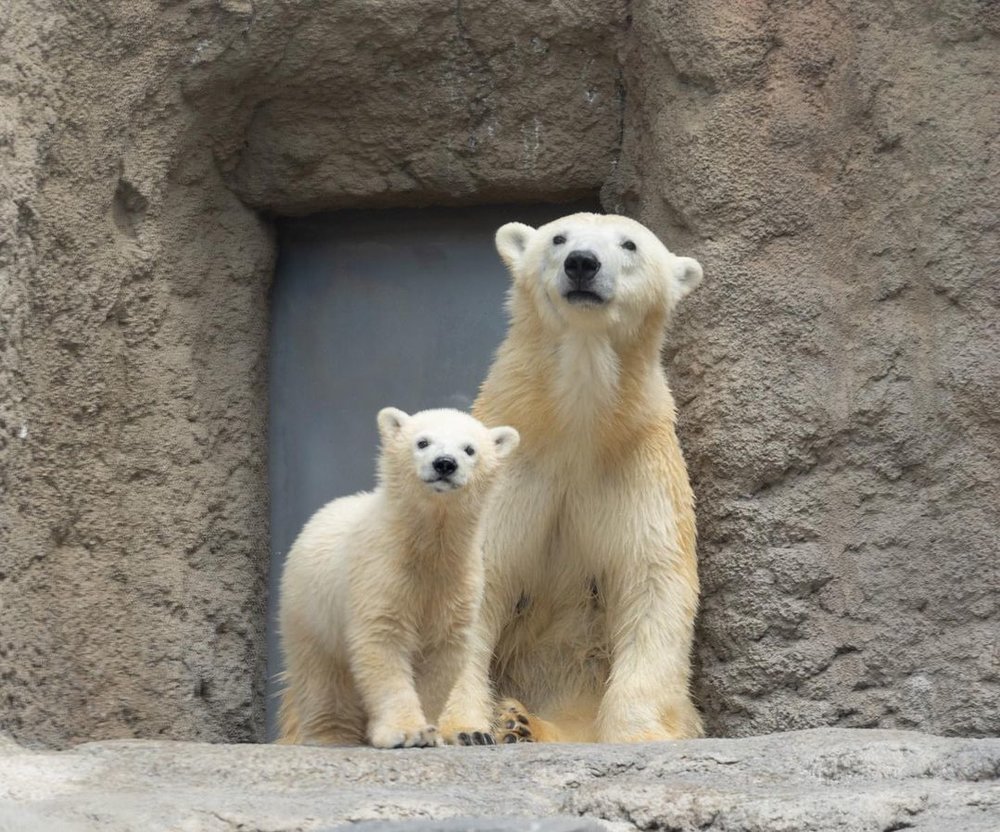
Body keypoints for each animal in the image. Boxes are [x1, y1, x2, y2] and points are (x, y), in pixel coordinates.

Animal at [276, 406, 519, 748]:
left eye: (470, 449)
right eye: (422, 442)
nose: (445, 463)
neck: (424, 547)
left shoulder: (455, 582)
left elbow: (440, 654)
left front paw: (431, 731)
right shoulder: (381, 572)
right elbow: (383, 644)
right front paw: (407, 733)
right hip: (308, 610)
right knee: (321, 676)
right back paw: (332, 734)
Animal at [443, 212, 705, 744]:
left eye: (629, 244)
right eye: (558, 237)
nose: (582, 262)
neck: (576, 421)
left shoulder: (636, 464)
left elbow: (653, 581)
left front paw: (639, 735)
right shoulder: (507, 471)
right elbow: (475, 573)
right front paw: (466, 728)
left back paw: (522, 723)